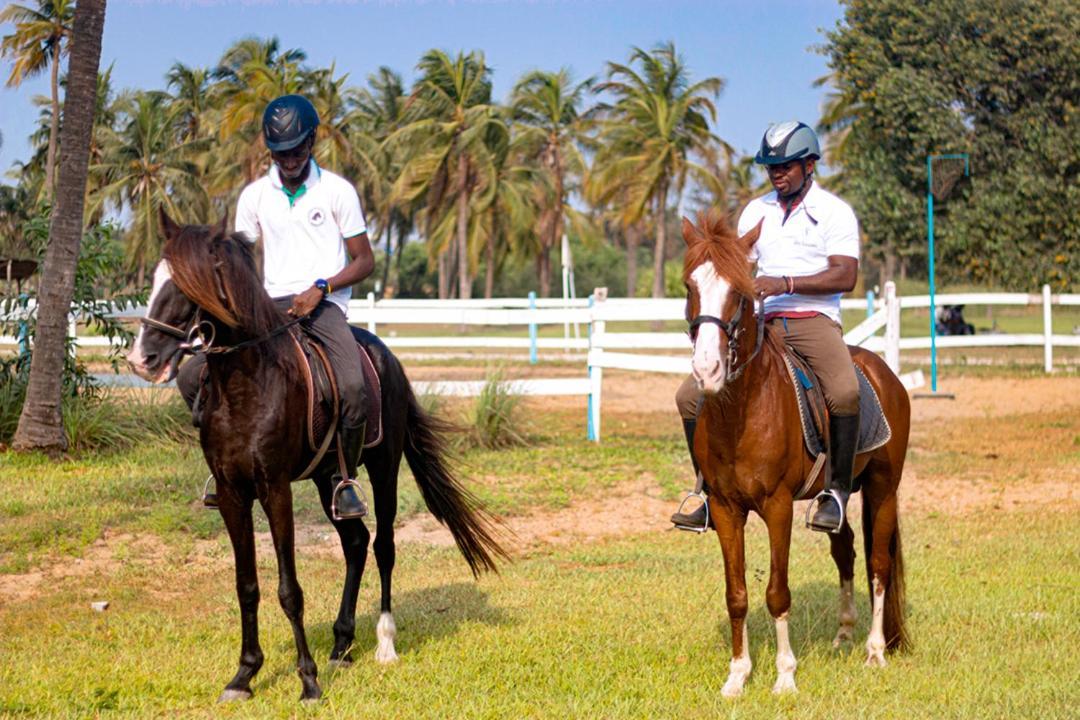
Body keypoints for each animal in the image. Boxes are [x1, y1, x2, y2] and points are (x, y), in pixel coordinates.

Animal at [128, 213, 507, 703]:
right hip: (329, 477)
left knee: (383, 546)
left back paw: (384, 643)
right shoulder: (232, 493)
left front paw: (307, 681)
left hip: (384, 469)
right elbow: (246, 585)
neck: (247, 385)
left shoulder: (274, 489)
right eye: (156, 278)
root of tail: (385, 356)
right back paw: (342, 644)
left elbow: (289, 589)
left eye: (185, 286)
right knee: (356, 543)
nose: (143, 359)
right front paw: (244, 675)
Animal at [682, 209, 911, 699]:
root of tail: (881, 370)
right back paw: (843, 634)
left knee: (879, 566)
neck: (741, 410)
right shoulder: (727, 509)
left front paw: (785, 677)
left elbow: (777, 592)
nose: (707, 370)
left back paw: (874, 650)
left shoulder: (778, 506)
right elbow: (736, 594)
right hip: (837, 495)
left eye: (741, 292)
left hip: (883, 488)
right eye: (690, 285)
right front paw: (737, 676)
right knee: (845, 550)